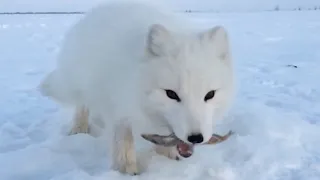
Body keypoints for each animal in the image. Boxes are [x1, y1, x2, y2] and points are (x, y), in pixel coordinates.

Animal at [39, 0, 235, 174]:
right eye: (171, 94)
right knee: (82, 104)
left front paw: (168, 158)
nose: (195, 138)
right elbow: (123, 140)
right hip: (82, 83)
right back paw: (79, 128)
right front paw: (127, 170)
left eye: (210, 94)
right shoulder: (118, 105)